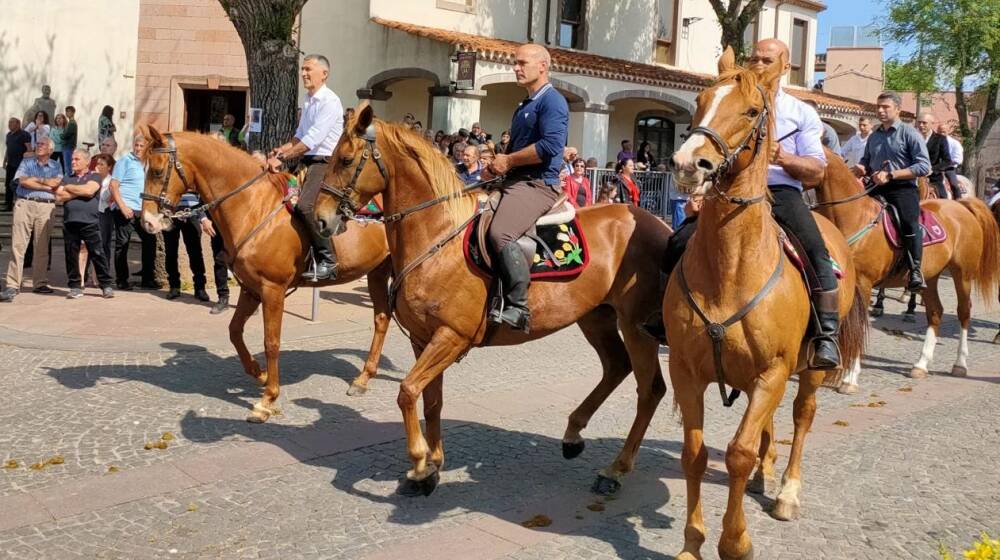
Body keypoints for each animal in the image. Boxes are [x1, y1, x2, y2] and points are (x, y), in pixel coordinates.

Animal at [138, 128, 394, 424]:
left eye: (157, 171)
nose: (148, 222)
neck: (253, 207)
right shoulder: (251, 288)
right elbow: (234, 331)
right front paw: (259, 374)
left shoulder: (273, 289)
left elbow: (271, 342)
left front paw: (268, 398)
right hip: (378, 272)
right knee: (382, 319)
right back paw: (362, 379)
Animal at [314, 104, 672, 494]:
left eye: (345, 159)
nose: (320, 219)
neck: (438, 237)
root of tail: (660, 225)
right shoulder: (423, 339)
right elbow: (431, 401)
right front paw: (434, 462)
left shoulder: (451, 336)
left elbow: (408, 391)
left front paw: (420, 464)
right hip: (596, 316)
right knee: (616, 367)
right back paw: (573, 434)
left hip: (637, 327)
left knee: (650, 389)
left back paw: (616, 468)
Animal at [664, 50, 868, 556]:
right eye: (699, 102)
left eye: (752, 111)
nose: (687, 164)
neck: (731, 268)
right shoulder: (686, 370)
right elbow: (694, 454)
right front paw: (692, 542)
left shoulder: (772, 371)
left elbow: (737, 452)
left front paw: (734, 540)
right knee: (770, 425)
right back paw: (767, 470)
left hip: (809, 369)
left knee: (801, 417)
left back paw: (788, 491)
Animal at [812, 149, 1000, 390]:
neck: (855, 217)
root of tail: (962, 206)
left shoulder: (863, 284)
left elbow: (858, 326)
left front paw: (850, 376)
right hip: (931, 276)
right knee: (935, 312)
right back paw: (921, 364)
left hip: (962, 273)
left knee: (963, 312)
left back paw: (960, 364)